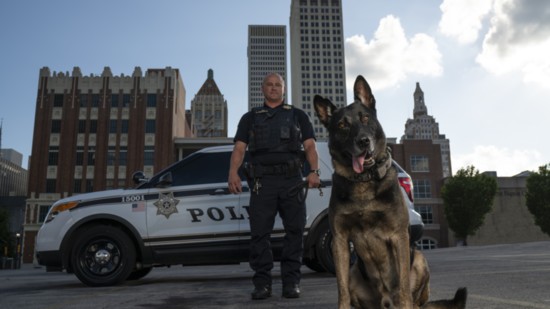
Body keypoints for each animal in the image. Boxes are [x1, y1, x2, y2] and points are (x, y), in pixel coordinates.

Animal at [314, 75, 466, 308]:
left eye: (365, 118)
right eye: (342, 125)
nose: (363, 141)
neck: (364, 181)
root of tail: (384, 302)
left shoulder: (398, 236)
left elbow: (403, 287)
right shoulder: (339, 240)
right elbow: (342, 290)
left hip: (419, 258)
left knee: (412, 298)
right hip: (355, 272)